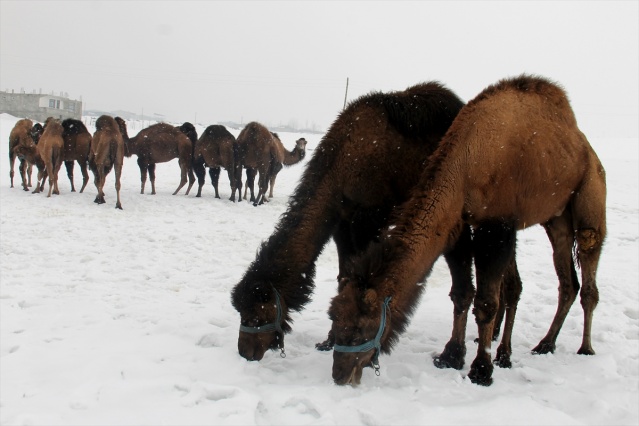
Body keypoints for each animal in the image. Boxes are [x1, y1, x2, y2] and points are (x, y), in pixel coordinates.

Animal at [232, 83, 468, 362]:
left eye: (255, 314)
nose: (244, 352)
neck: (343, 163)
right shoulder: (343, 225)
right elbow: (344, 277)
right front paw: (329, 341)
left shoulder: (369, 222)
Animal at [328, 75, 608, 388]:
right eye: (334, 320)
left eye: (360, 328)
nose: (339, 374)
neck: (467, 164)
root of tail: (587, 150)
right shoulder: (459, 226)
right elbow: (462, 293)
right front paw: (450, 356)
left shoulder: (497, 224)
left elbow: (485, 302)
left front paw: (481, 370)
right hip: (556, 217)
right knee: (566, 280)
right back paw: (543, 344)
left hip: (590, 193)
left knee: (589, 259)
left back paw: (584, 348)